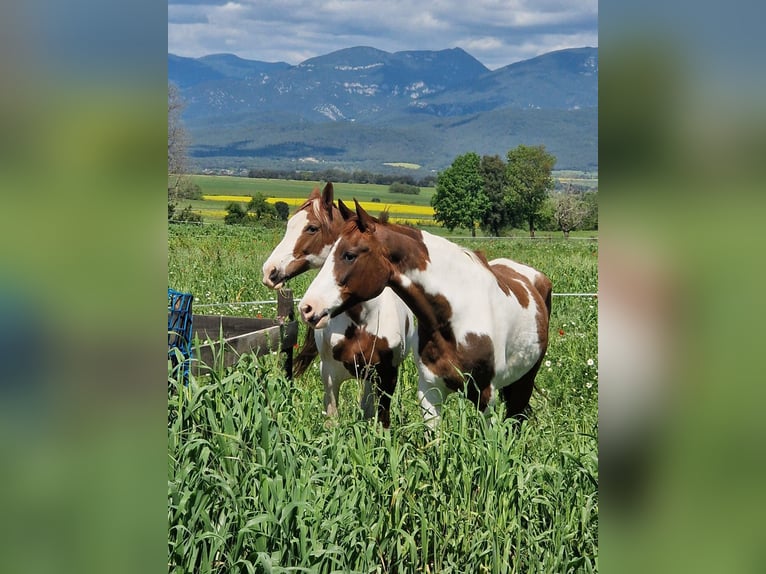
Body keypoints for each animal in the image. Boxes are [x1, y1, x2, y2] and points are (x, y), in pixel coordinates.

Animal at [262, 183, 415, 427]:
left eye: (312, 228)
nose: (270, 271)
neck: (362, 318)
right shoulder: (330, 374)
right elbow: (332, 422)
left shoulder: (386, 374)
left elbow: (380, 421)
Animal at [299, 199, 552, 427]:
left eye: (349, 255)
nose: (307, 307)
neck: (456, 320)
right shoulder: (430, 393)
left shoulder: (485, 396)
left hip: (523, 382)